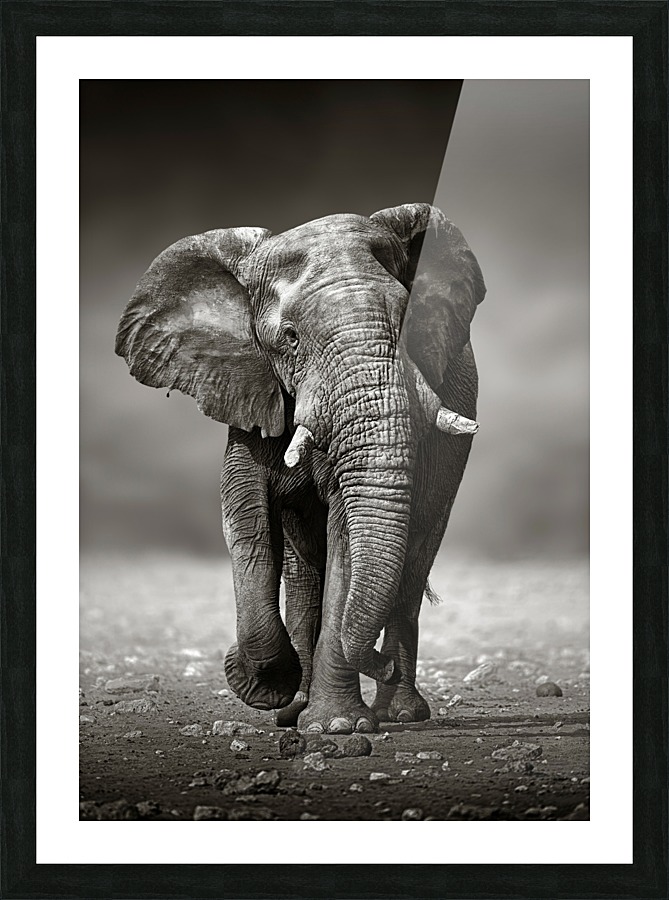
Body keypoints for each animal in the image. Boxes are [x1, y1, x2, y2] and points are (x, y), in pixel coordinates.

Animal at [115, 202, 485, 734]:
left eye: (408, 323)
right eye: (289, 339)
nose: (379, 665)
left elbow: (345, 533)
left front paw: (338, 727)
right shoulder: (250, 390)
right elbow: (246, 518)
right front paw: (267, 688)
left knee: (414, 559)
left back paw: (398, 713)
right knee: (305, 573)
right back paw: (296, 709)